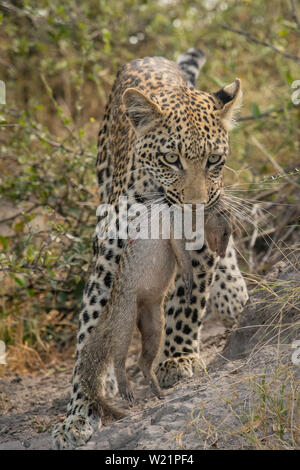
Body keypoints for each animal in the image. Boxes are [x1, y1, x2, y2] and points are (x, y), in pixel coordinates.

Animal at [52, 49, 248, 450]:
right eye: (171, 159)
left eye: (214, 160)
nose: (195, 205)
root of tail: (151, 56)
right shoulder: (109, 259)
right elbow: (89, 331)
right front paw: (80, 411)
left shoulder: (199, 243)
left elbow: (189, 302)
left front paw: (176, 358)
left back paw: (233, 297)